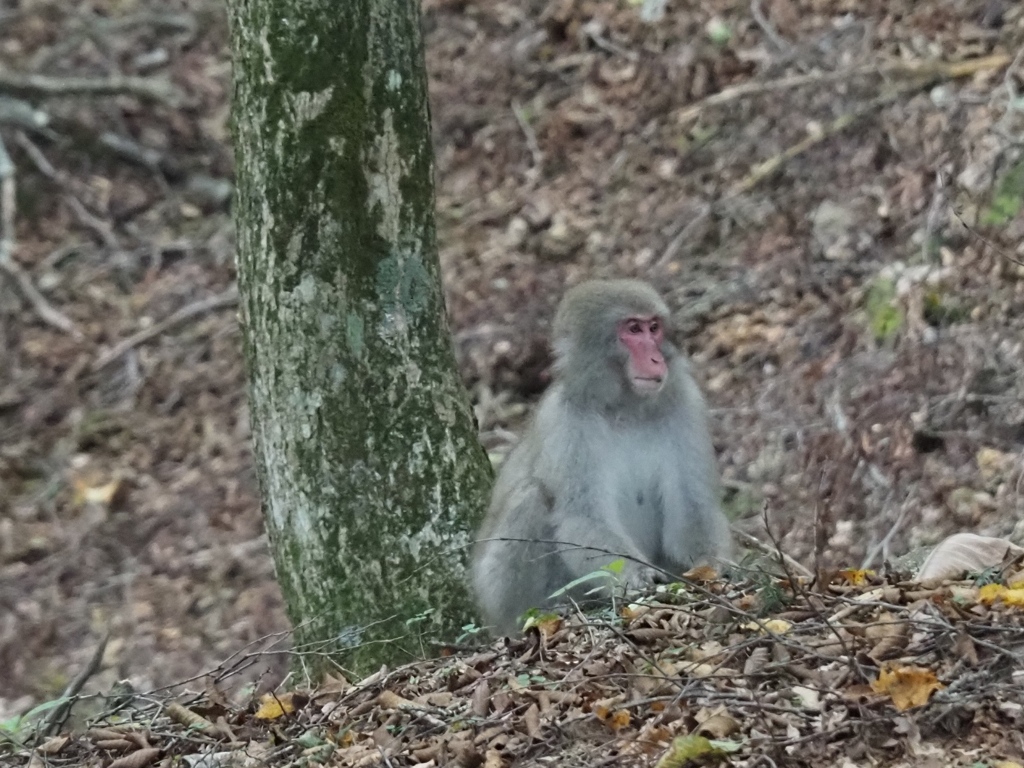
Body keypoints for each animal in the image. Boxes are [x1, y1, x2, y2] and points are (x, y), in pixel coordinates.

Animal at [471, 280, 729, 634]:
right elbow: (581, 515)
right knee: (532, 497)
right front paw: (637, 575)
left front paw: (711, 568)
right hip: (495, 592)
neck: (624, 407)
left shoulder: (685, 403)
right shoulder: (564, 420)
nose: (656, 359)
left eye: (653, 328)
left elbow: (692, 506)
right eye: (632, 329)